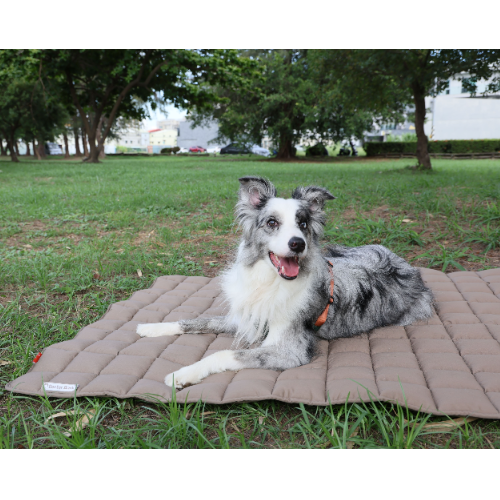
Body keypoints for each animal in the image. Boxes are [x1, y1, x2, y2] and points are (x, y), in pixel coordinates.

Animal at [137, 176, 434, 389]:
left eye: (303, 224)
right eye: (271, 222)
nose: (298, 244)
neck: (268, 281)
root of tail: (408, 266)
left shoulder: (288, 351)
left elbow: (223, 354)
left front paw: (182, 374)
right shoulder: (247, 317)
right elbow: (197, 321)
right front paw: (152, 327)